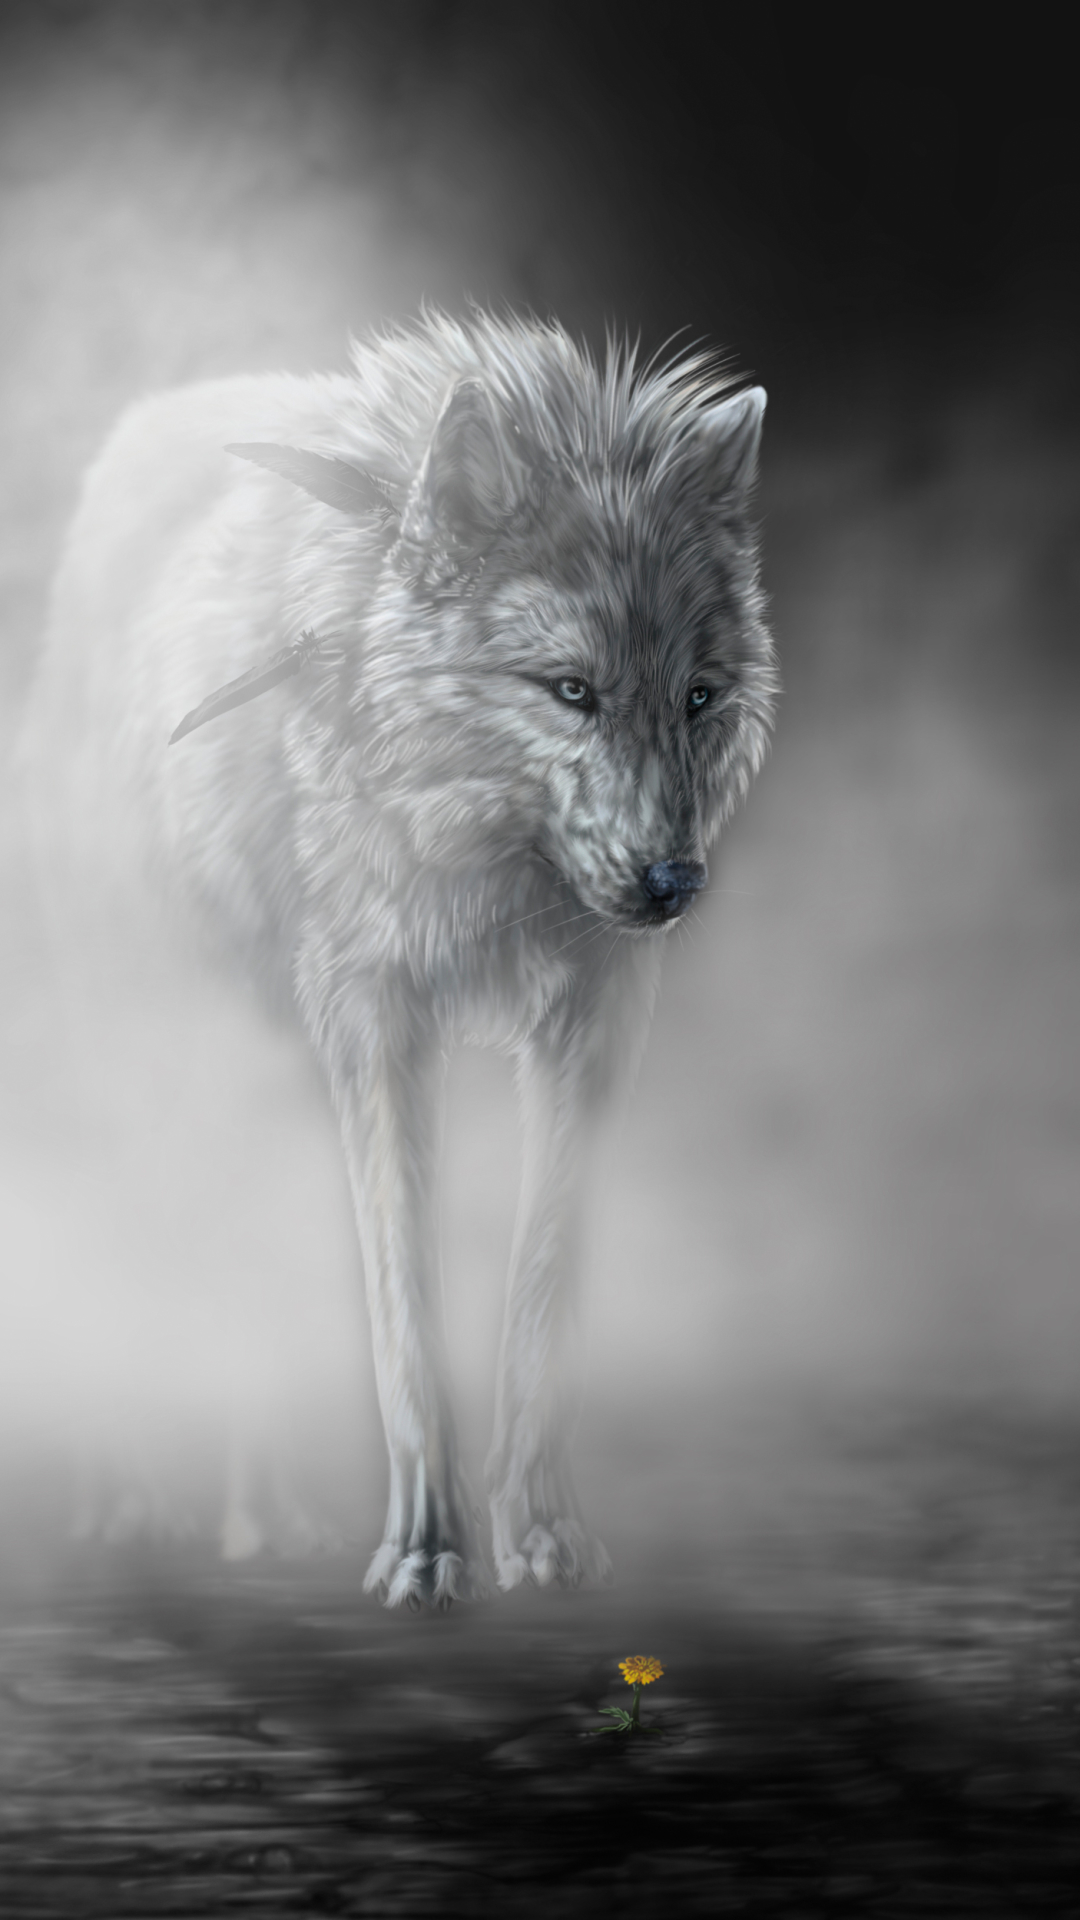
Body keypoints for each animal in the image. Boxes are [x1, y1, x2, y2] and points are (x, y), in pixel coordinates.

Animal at [24, 312, 775, 1607]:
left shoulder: (596, 1021)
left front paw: (543, 1536)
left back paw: (264, 1517)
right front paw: (427, 1551)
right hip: (171, 1057)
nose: (672, 883)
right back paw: (143, 1503)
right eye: (570, 690)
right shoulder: (373, 1016)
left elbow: (544, 1294)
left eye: (698, 696)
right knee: (157, 1250)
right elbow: (404, 1312)